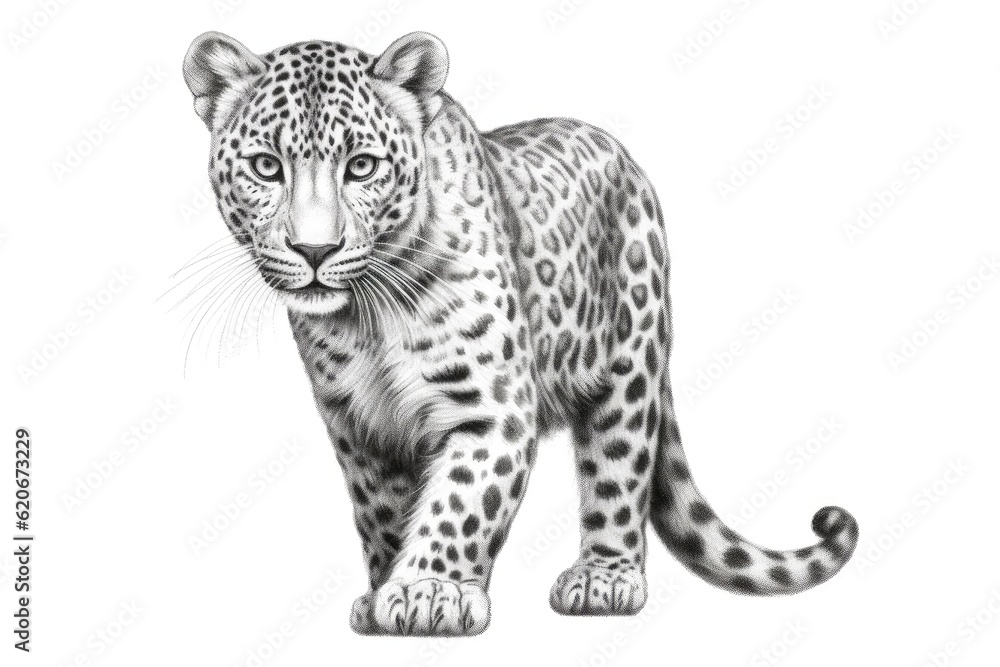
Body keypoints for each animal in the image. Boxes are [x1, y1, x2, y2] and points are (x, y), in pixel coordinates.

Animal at [182, 30, 859, 636]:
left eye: (362, 167)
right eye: (266, 167)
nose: (315, 250)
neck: (370, 313)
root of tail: (624, 158)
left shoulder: (492, 408)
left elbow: (460, 504)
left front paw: (431, 592)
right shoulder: (359, 423)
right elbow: (384, 512)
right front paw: (384, 594)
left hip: (630, 366)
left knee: (619, 467)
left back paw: (605, 579)